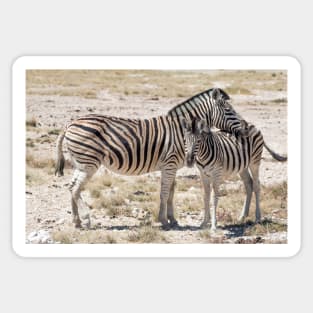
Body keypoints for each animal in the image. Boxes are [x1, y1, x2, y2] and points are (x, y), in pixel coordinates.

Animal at [54, 86, 247, 228]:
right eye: (229, 110)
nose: (245, 128)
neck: (181, 132)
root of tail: (70, 123)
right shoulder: (169, 164)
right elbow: (164, 192)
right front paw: (163, 220)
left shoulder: (172, 166)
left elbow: (171, 191)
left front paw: (172, 219)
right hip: (89, 163)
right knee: (75, 188)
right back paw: (86, 219)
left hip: (81, 163)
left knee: (71, 187)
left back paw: (76, 221)